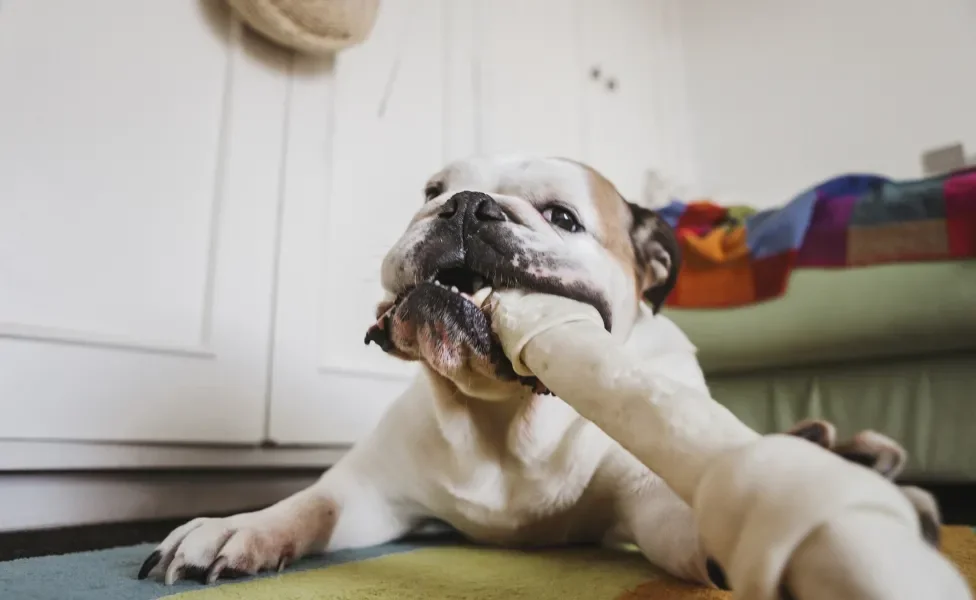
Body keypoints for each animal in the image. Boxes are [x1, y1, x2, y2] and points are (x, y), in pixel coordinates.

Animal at [137, 156, 936, 592]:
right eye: (430, 188)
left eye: (563, 217)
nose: (464, 205)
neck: (503, 413)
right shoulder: (369, 494)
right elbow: (310, 504)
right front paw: (238, 528)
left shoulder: (650, 501)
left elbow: (688, 520)